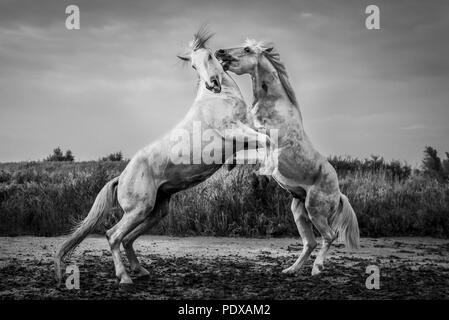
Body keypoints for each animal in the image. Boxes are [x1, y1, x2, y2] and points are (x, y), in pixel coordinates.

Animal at [215, 39, 358, 276]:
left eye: (247, 49)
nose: (220, 52)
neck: (274, 106)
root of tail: (338, 194)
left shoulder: (269, 140)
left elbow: (252, 143)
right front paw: (229, 164)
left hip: (315, 210)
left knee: (329, 236)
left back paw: (317, 269)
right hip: (299, 211)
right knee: (310, 242)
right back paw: (290, 270)